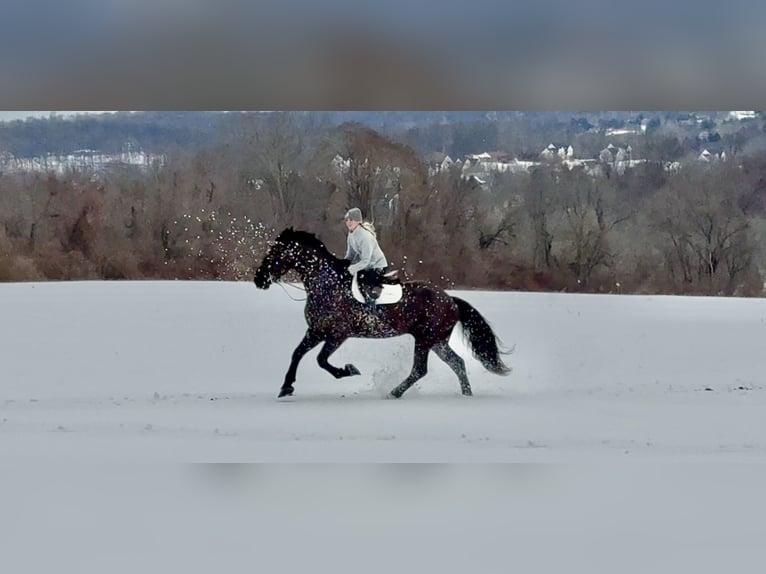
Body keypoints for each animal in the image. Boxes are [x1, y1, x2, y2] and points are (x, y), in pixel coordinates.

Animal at [253, 227, 510, 398]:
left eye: (275, 253)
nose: (259, 279)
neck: (326, 285)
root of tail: (451, 299)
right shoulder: (316, 330)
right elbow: (297, 354)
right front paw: (286, 387)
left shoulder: (336, 335)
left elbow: (321, 360)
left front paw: (348, 370)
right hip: (437, 341)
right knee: (457, 363)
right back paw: (466, 394)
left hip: (425, 339)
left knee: (421, 369)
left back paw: (394, 393)